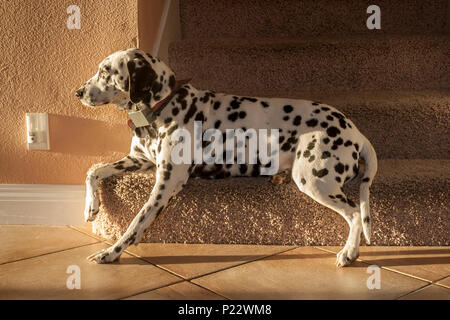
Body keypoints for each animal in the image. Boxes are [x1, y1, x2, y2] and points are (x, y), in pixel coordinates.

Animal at [76, 48, 376, 268]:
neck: (162, 108)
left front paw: (112, 252)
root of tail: (356, 131)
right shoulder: (138, 160)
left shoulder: (166, 183)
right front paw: (91, 206)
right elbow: (93, 170)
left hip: (314, 181)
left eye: (105, 71)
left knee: (354, 213)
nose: (77, 92)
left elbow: (137, 221)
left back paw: (349, 253)